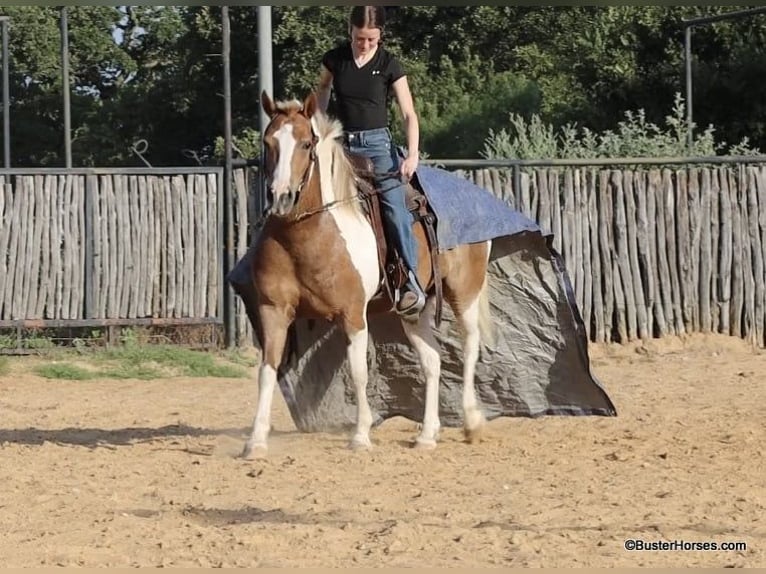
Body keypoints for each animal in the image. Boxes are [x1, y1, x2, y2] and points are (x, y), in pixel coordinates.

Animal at [243, 91, 496, 460]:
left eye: (306, 143)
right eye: (268, 142)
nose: (282, 197)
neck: (307, 235)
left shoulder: (352, 314)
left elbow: (358, 373)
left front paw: (361, 435)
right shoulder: (273, 311)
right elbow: (267, 371)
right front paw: (255, 440)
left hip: (464, 293)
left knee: (470, 346)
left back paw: (472, 422)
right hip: (415, 310)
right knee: (432, 361)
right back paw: (427, 434)